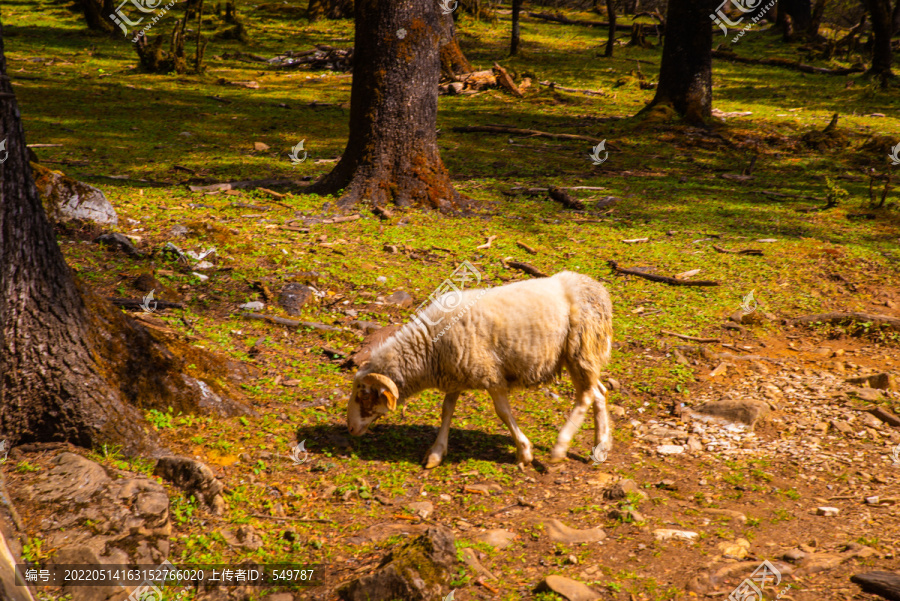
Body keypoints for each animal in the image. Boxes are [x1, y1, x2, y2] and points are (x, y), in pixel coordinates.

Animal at [344, 268, 612, 468]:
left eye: (364, 395)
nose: (350, 428)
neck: (429, 348)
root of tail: (596, 289)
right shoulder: (455, 375)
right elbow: (446, 410)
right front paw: (436, 453)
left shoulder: (490, 373)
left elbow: (502, 412)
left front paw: (524, 452)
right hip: (580, 354)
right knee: (598, 391)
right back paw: (600, 445)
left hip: (580, 349)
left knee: (586, 395)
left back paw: (559, 448)